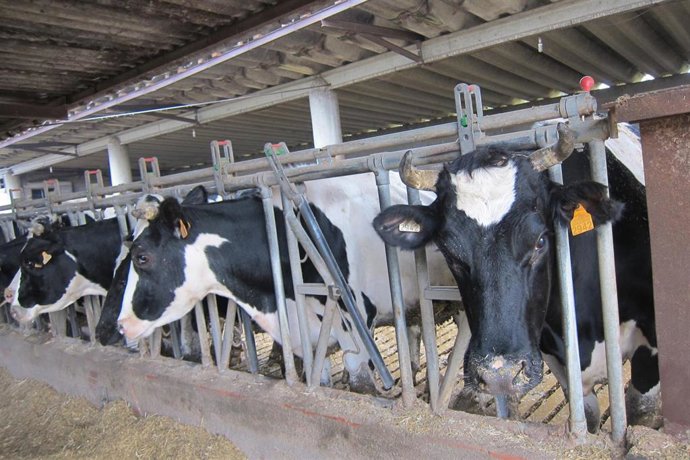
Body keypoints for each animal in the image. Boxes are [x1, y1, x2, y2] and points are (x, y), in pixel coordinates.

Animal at [115, 174, 455, 393]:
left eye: (141, 257)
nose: (121, 325)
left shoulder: (356, 326)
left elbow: (361, 386)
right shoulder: (308, 337)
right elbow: (320, 381)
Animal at [373, 123, 659, 431]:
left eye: (540, 241)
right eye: (450, 253)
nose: (499, 375)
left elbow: (641, 409)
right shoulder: (552, 353)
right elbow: (588, 414)